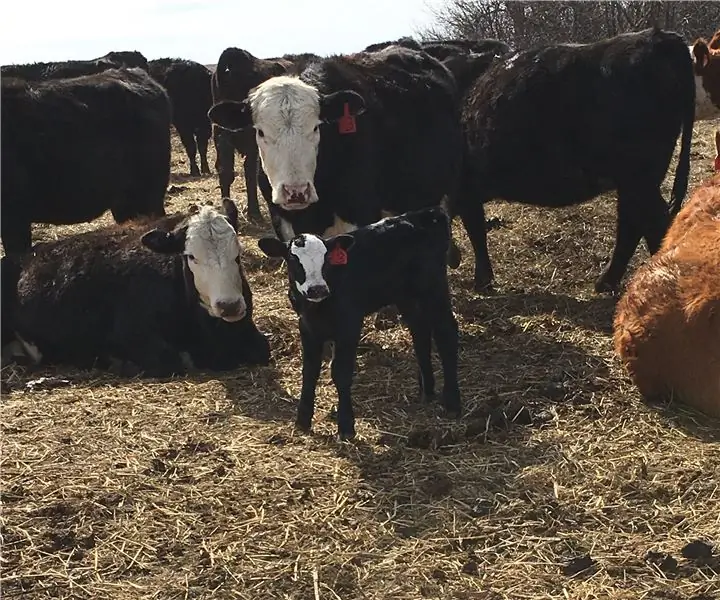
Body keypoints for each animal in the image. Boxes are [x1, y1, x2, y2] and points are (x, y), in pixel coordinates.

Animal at [452, 27, 696, 294]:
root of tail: (658, 36)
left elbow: (474, 229)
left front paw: (479, 278)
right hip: (634, 180)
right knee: (633, 223)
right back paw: (607, 281)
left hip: (638, 176)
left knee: (652, 223)